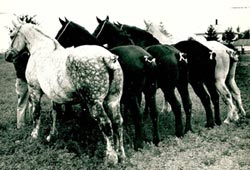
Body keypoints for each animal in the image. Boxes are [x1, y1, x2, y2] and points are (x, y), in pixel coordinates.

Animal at [5, 22, 127, 163]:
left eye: (12, 35)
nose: (7, 55)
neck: (40, 50)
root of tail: (107, 58)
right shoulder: (54, 95)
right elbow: (54, 113)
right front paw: (52, 135)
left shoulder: (34, 90)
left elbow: (36, 113)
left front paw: (34, 135)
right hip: (113, 101)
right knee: (118, 122)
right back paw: (121, 155)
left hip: (94, 102)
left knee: (106, 124)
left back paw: (111, 158)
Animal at [54, 17, 157, 150]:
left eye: (61, 31)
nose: (55, 43)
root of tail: (145, 58)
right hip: (150, 92)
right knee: (154, 114)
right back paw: (155, 139)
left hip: (133, 95)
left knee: (138, 116)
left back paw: (138, 143)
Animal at [93, 15, 189, 144]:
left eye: (98, 28)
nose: (93, 36)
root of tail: (177, 54)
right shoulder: (146, 91)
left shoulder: (134, 93)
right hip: (182, 85)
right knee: (187, 104)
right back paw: (187, 129)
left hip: (168, 88)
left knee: (177, 106)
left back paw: (177, 132)